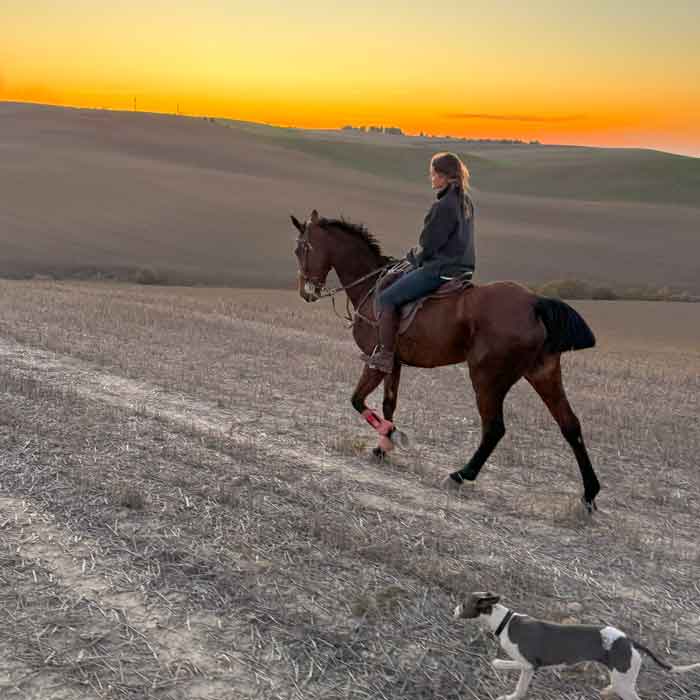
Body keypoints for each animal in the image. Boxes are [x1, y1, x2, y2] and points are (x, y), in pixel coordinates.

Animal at [292, 211, 600, 512]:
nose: (306, 292)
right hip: (543, 373)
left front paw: (392, 436)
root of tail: (535, 303)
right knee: (570, 426)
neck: (371, 285)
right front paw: (383, 446)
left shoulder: (375, 360)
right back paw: (589, 495)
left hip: (487, 378)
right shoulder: (393, 363)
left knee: (494, 428)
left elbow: (357, 400)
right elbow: (388, 404)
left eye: (301, 248)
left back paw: (460, 475)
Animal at [454, 592, 700, 700]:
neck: (505, 622)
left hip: (625, 683)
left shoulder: (528, 664)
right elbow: (520, 686)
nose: (454, 610)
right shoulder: (528, 669)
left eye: (464, 604)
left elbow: (503, 666)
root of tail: (628, 640)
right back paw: (607, 690)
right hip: (622, 678)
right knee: (615, 685)